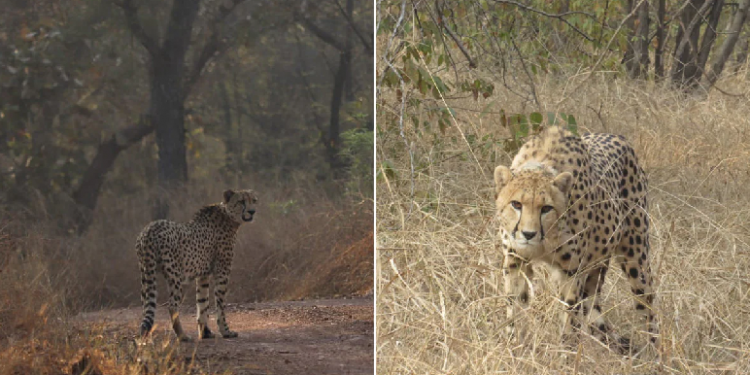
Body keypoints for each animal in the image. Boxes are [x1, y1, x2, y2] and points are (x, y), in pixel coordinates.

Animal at [137, 189, 258, 342]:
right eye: (241, 201)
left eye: (254, 200)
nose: (252, 211)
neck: (228, 216)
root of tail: (150, 229)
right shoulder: (222, 271)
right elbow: (220, 304)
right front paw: (225, 331)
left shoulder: (203, 274)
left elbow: (202, 303)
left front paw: (205, 333)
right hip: (175, 276)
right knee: (171, 305)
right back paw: (182, 336)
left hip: (146, 274)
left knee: (146, 305)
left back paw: (146, 337)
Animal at [496, 126, 660, 352]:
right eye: (516, 204)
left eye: (546, 208)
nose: (528, 234)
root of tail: (618, 137)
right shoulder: (515, 261)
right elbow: (514, 305)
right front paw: (513, 345)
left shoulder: (571, 271)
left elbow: (569, 315)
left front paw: (565, 351)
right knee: (594, 312)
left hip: (635, 257)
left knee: (647, 307)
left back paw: (656, 352)